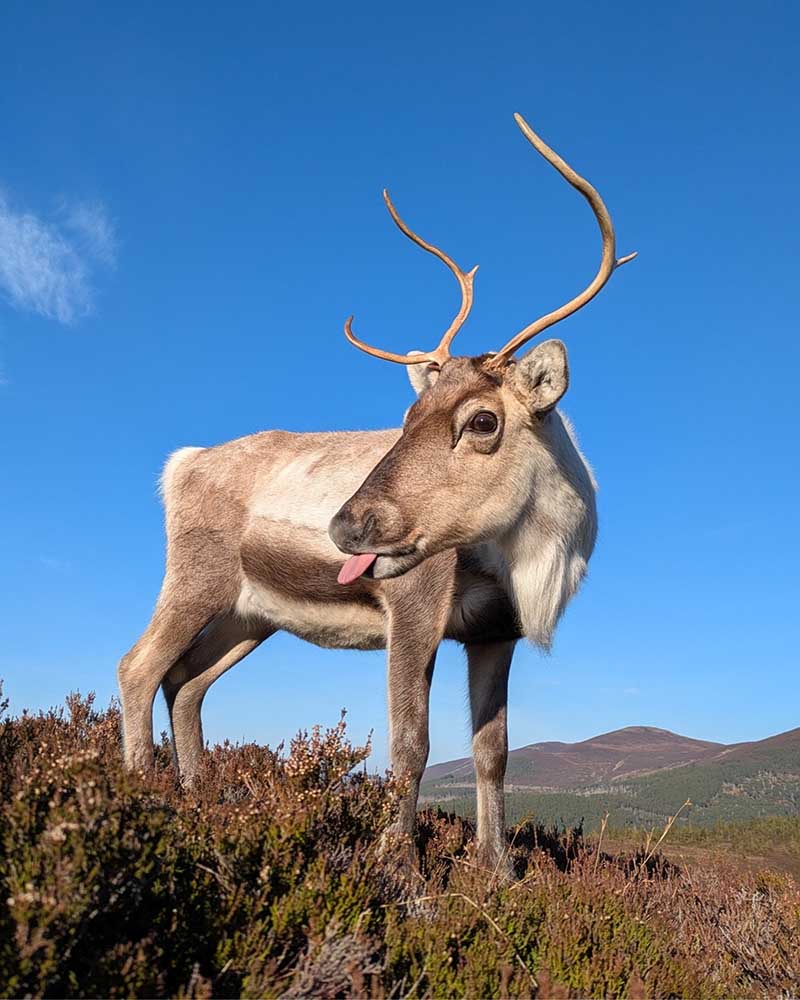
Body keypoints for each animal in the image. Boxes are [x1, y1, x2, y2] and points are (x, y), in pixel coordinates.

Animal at [118, 113, 635, 869]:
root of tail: (179, 465)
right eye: (409, 414)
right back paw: (140, 798)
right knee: (139, 666)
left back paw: (200, 800)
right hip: (195, 581)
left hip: (252, 615)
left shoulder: (494, 634)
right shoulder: (414, 608)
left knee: (185, 683)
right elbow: (410, 743)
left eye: (483, 420)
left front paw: (499, 871)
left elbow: (492, 752)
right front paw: (402, 866)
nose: (346, 525)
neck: (536, 554)